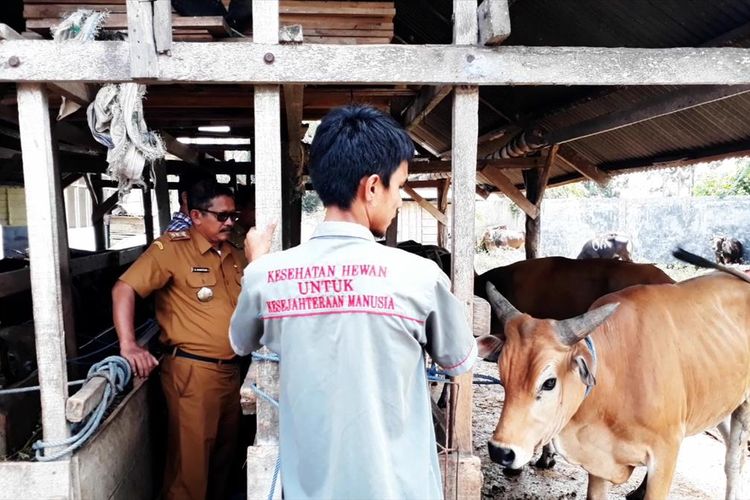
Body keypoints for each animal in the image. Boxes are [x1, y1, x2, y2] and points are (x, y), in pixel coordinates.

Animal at [478, 256, 748, 498]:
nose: (500, 451)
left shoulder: (665, 454)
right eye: (503, 376)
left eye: (549, 382)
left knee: (733, 462)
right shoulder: (599, 464)